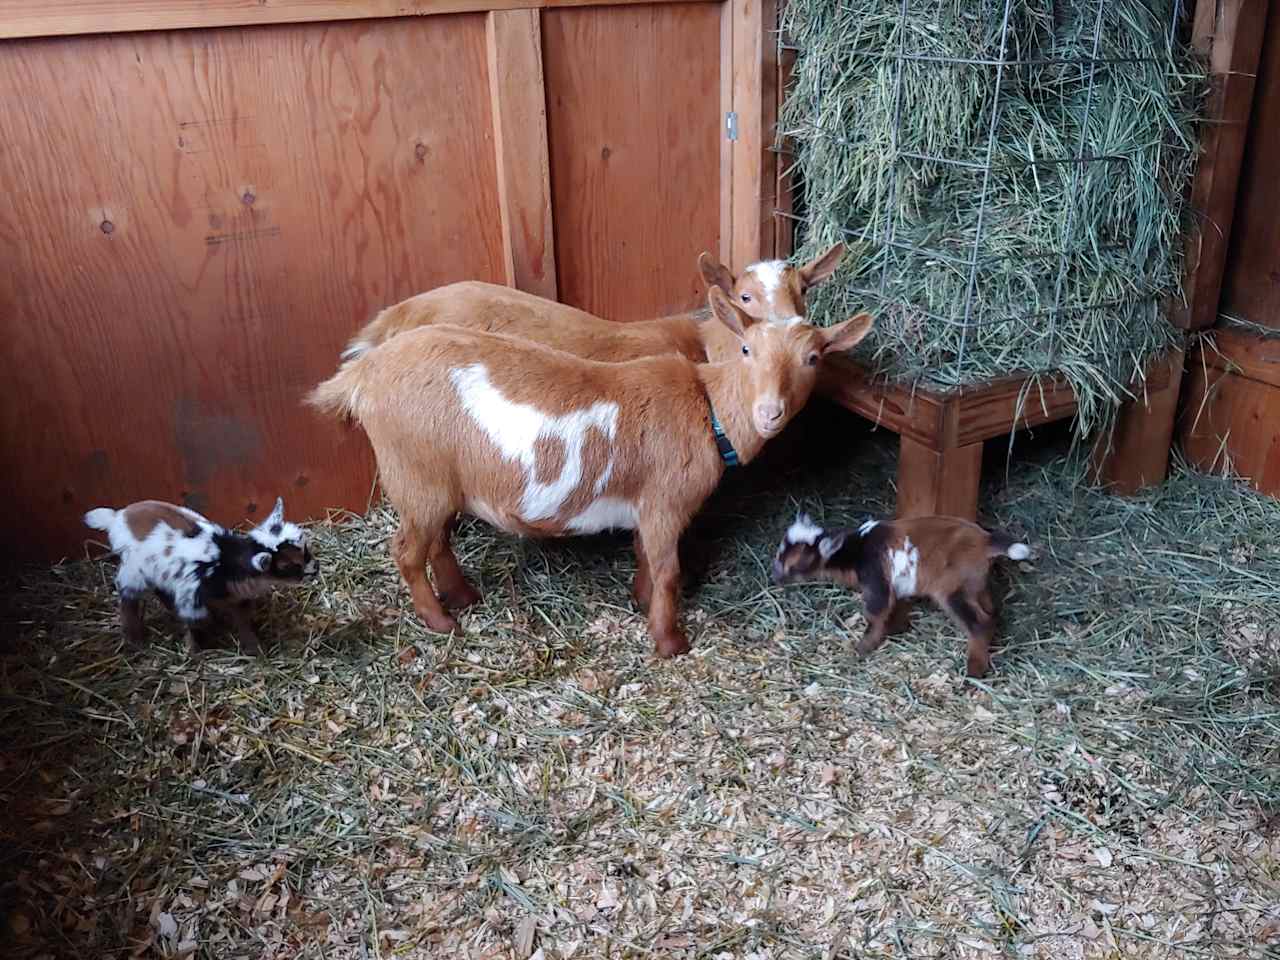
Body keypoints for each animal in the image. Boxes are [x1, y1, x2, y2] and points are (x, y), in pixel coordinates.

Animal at [83, 499, 317, 660]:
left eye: (305, 549)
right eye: (287, 566)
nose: (315, 569)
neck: (224, 560)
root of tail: (116, 517)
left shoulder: (238, 596)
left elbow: (243, 620)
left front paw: (254, 648)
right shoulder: (191, 596)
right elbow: (194, 623)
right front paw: (193, 653)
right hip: (134, 571)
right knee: (128, 598)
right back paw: (135, 639)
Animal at [309, 289, 870, 660]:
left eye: (813, 358)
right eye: (748, 349)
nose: (769, 413)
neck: (707, 406)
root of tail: (362, 375)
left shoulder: (645, 504)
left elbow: (645, 556)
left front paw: (640, 600)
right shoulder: (666, 502)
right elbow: (669, 570)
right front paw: (670, 641)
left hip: (439, 481)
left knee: (436, 541)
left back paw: (464, 597)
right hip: (414, 472)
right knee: (407, 551)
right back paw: (441, 621)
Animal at [768, 514, 1029, 680]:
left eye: (795, 563)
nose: (775, 577)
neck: (855, 549)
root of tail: (985, 540)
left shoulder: (876, 579)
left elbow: (876, 612)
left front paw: (862, 648)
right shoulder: (899, 582)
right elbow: (898, 605)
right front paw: (896, 628)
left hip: (953, 588)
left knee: (978, 623)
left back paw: (974, 670)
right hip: (975, 583)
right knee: (990, 612)